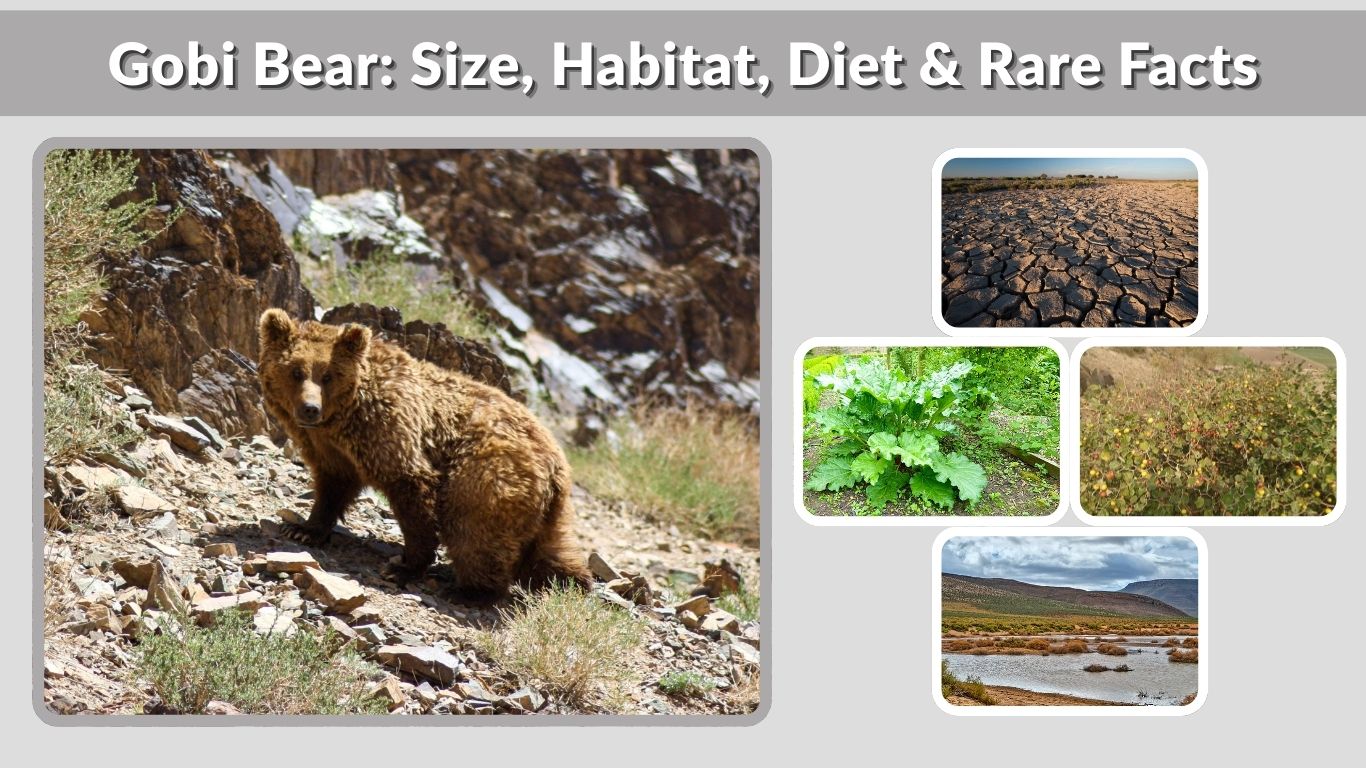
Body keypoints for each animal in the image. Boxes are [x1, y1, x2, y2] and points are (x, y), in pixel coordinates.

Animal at [255, 308, 591, 600]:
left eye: (328, 375)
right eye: (296, 371)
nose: (310, 409)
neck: (344, 418)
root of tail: (557, 464)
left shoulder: (390, 430)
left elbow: (412, 489)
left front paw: (404, 566)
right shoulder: (330, 447)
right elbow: (332, 486)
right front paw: (302, 529)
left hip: (487, 473)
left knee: (473, 529)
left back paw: (469, 591)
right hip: (549, 509)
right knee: (551, 549)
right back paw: (572, 583)